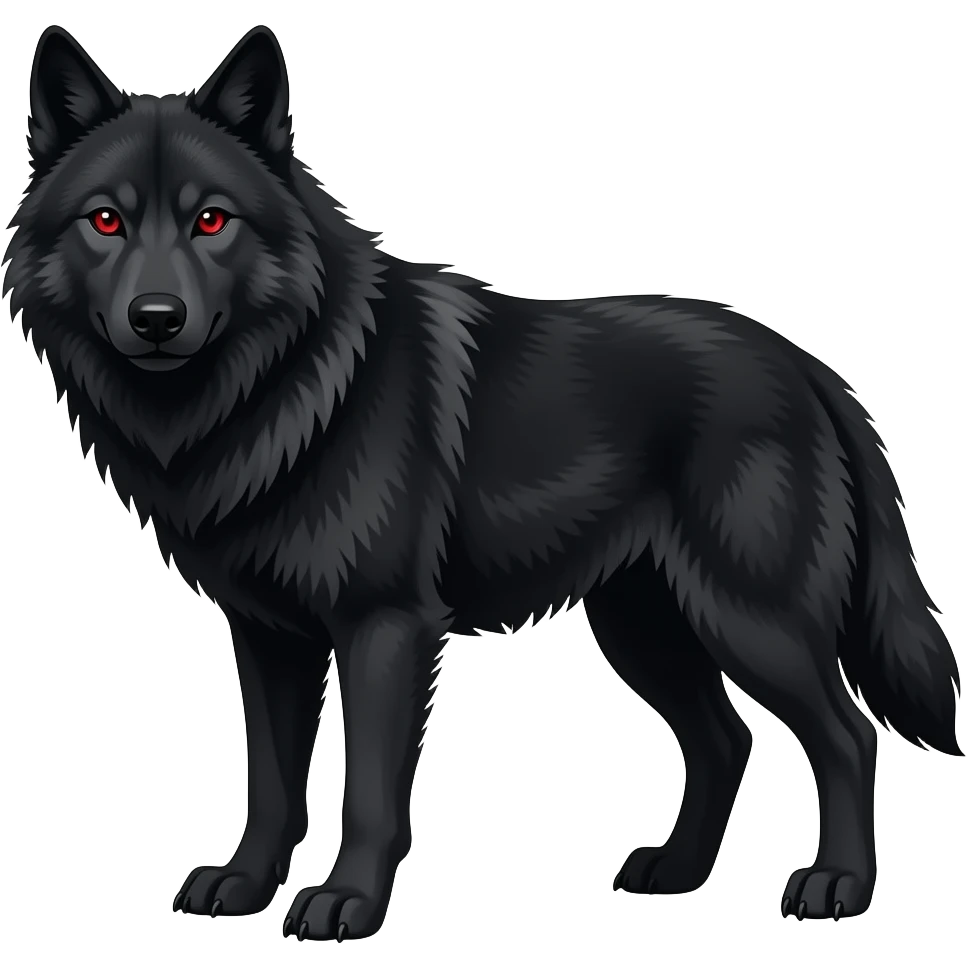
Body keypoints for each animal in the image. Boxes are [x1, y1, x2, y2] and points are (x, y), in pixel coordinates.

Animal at [3, 22, 963, 941]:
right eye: (105, 222)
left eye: (211, 221)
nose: (156, 320)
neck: (285, 387)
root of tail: (809, 367)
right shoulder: (268, 636)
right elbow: (271, 785)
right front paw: (244, 887)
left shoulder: (385, 627)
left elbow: (368, 792)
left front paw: (347, 903)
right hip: (644, 626)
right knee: (726, 741)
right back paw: (676, 873)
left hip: (750, 619)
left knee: (847, 737)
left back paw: (837, 886)